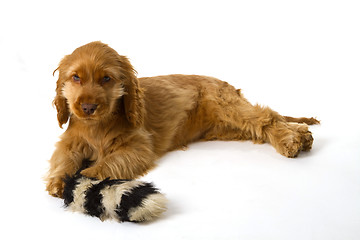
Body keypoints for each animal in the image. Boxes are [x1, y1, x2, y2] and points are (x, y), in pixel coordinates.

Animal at [46, 41, 320, 198]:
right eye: (76, 78)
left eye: (106, 78)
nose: (88, 107)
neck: (97, 126)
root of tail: (228, 85)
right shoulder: (68, 142)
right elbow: (63, 158)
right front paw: (60, 180)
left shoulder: (138, 147)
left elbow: (109, 162)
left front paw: (86, 175)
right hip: (226, 127)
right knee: (260, 128)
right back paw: (303, 135)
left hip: (229, 107)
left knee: (266, 118)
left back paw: (291, 139)